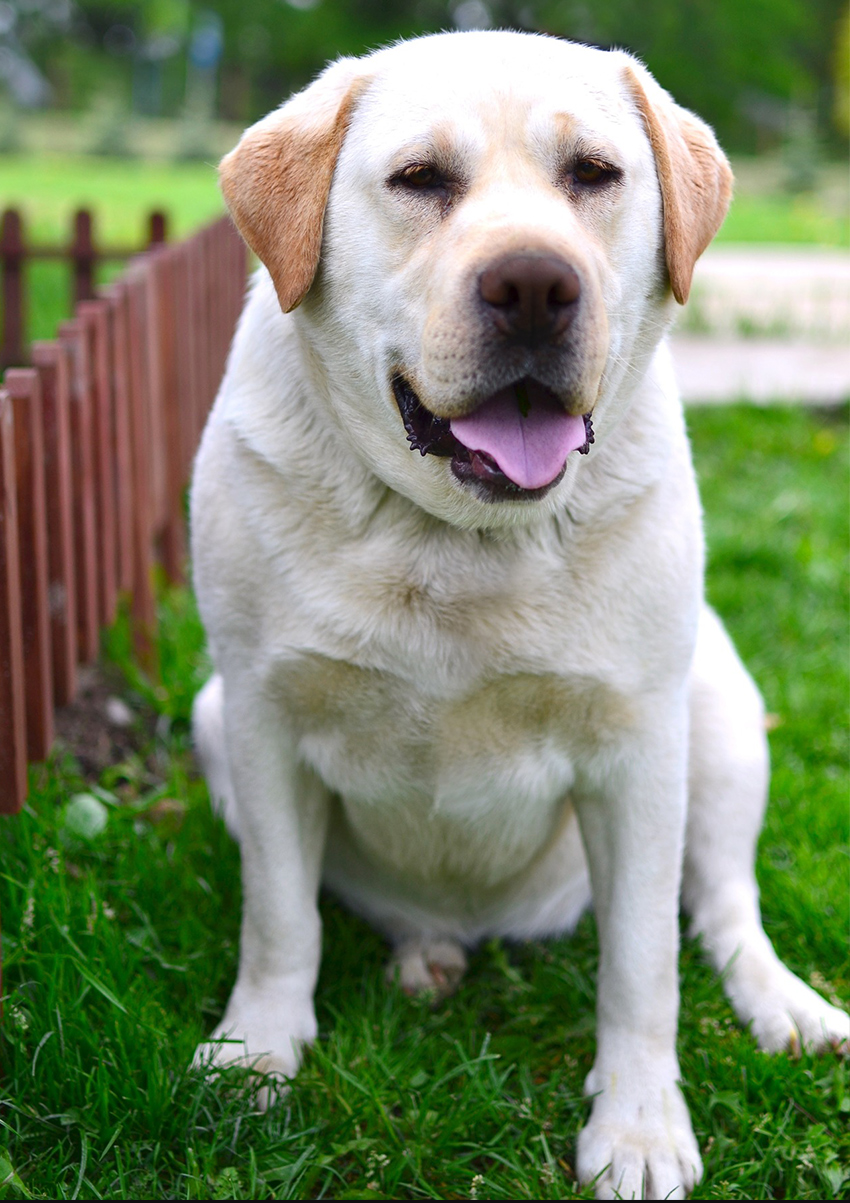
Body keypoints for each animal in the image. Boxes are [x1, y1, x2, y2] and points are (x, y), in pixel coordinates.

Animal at [189, 30, 846, 1203]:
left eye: (593, 174)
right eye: (419, 179)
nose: (535, 283)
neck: (456, 537)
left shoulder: (638, 750)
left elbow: (643, 963)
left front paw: (638, 1128)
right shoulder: (261, 715)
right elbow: (280, 917)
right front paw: (256, 1052)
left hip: (720, 708)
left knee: (723, 906)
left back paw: (785, 1004)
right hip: (209, 714)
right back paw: (425, 952)